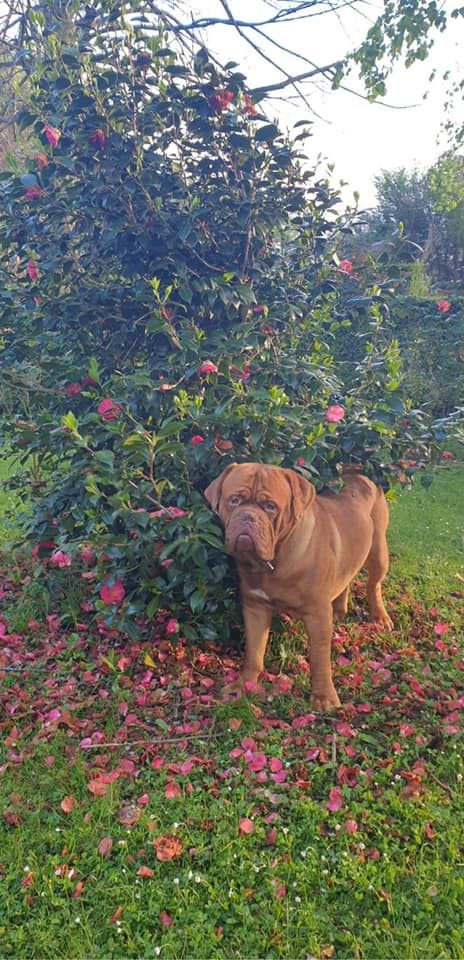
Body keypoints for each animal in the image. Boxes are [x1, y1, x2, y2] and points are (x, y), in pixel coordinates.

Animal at [204, 463, 393, 712]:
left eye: (270, 506)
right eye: (234, 501)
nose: (247, 517)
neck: (274, 560)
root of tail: (359, 473)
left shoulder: (318, 614)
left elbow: (320, 659)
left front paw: (324, 697)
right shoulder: (255, 607)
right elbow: (253, 652)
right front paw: (243, 686)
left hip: (379, 550)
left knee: (374, 585)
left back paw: (380, 617)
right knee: (346, 578)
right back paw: (340, 610)